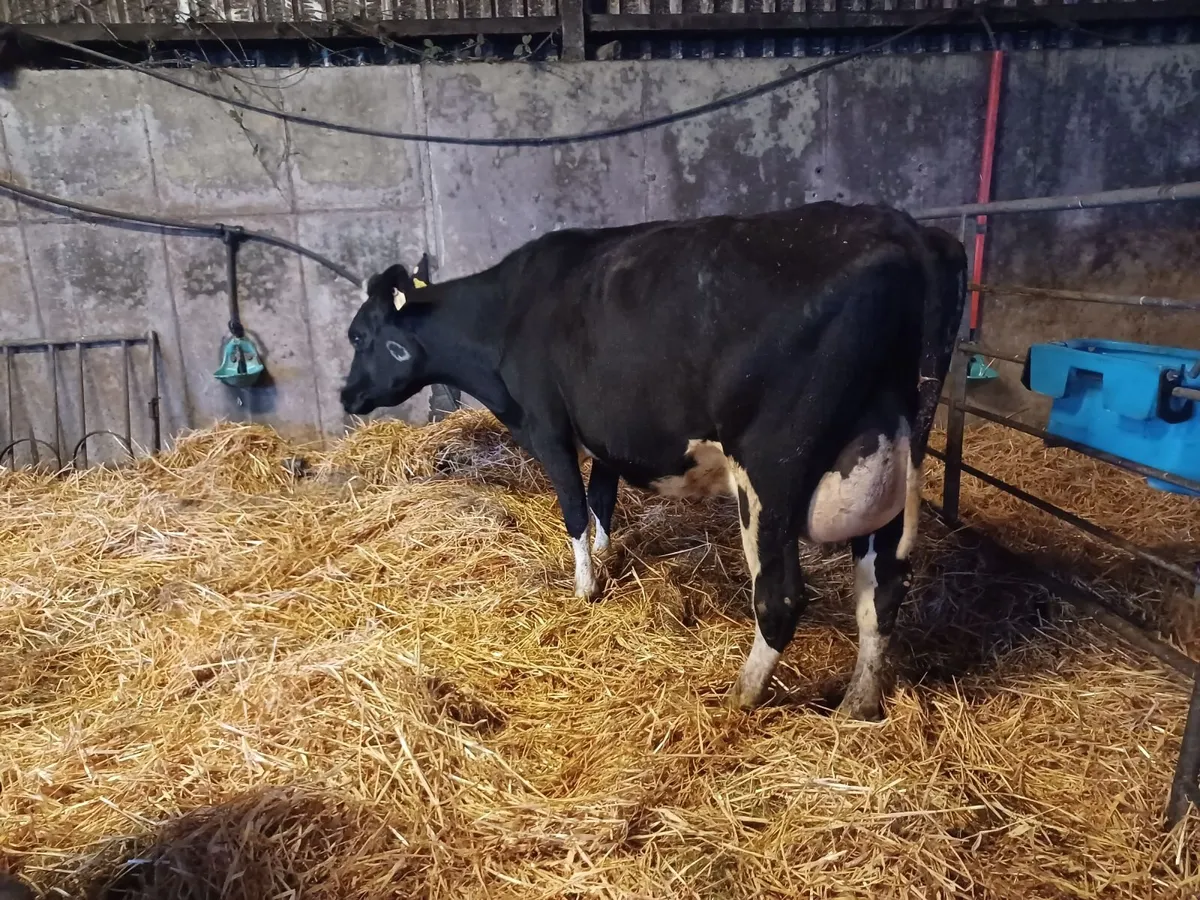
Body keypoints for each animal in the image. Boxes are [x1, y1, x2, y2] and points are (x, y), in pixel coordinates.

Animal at [341, 202, 966, 720]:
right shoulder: (608, 436)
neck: (504, 317)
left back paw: (739, 697)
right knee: (882, 590)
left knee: (781, 596)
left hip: (772, 468)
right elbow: (601, 499)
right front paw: (605, 556)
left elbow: (573, 507)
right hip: (893, 454)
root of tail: (908, 231)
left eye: (357, 335)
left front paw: (585, 588)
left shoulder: (547, 426)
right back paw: (859, 704)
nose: (346, 396)